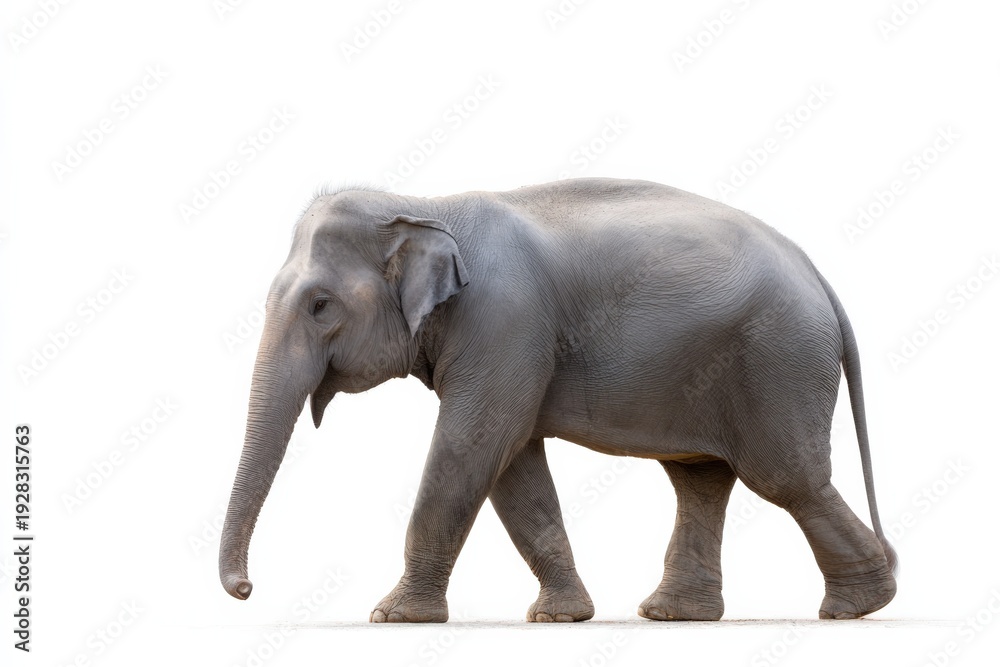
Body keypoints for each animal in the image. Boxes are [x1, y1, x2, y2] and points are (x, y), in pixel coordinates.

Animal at [219, 177, 897, 623]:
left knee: (787, 478)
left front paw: (390, 617)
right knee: (701, 479)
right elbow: (513, 466)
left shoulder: (503, 322)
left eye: (319, 305)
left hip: (778, 360)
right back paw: (673, 613)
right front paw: (560, 616)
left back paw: (855, 607)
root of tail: (818, 274)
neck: (423, 206)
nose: (246, 590)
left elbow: (472, 447)